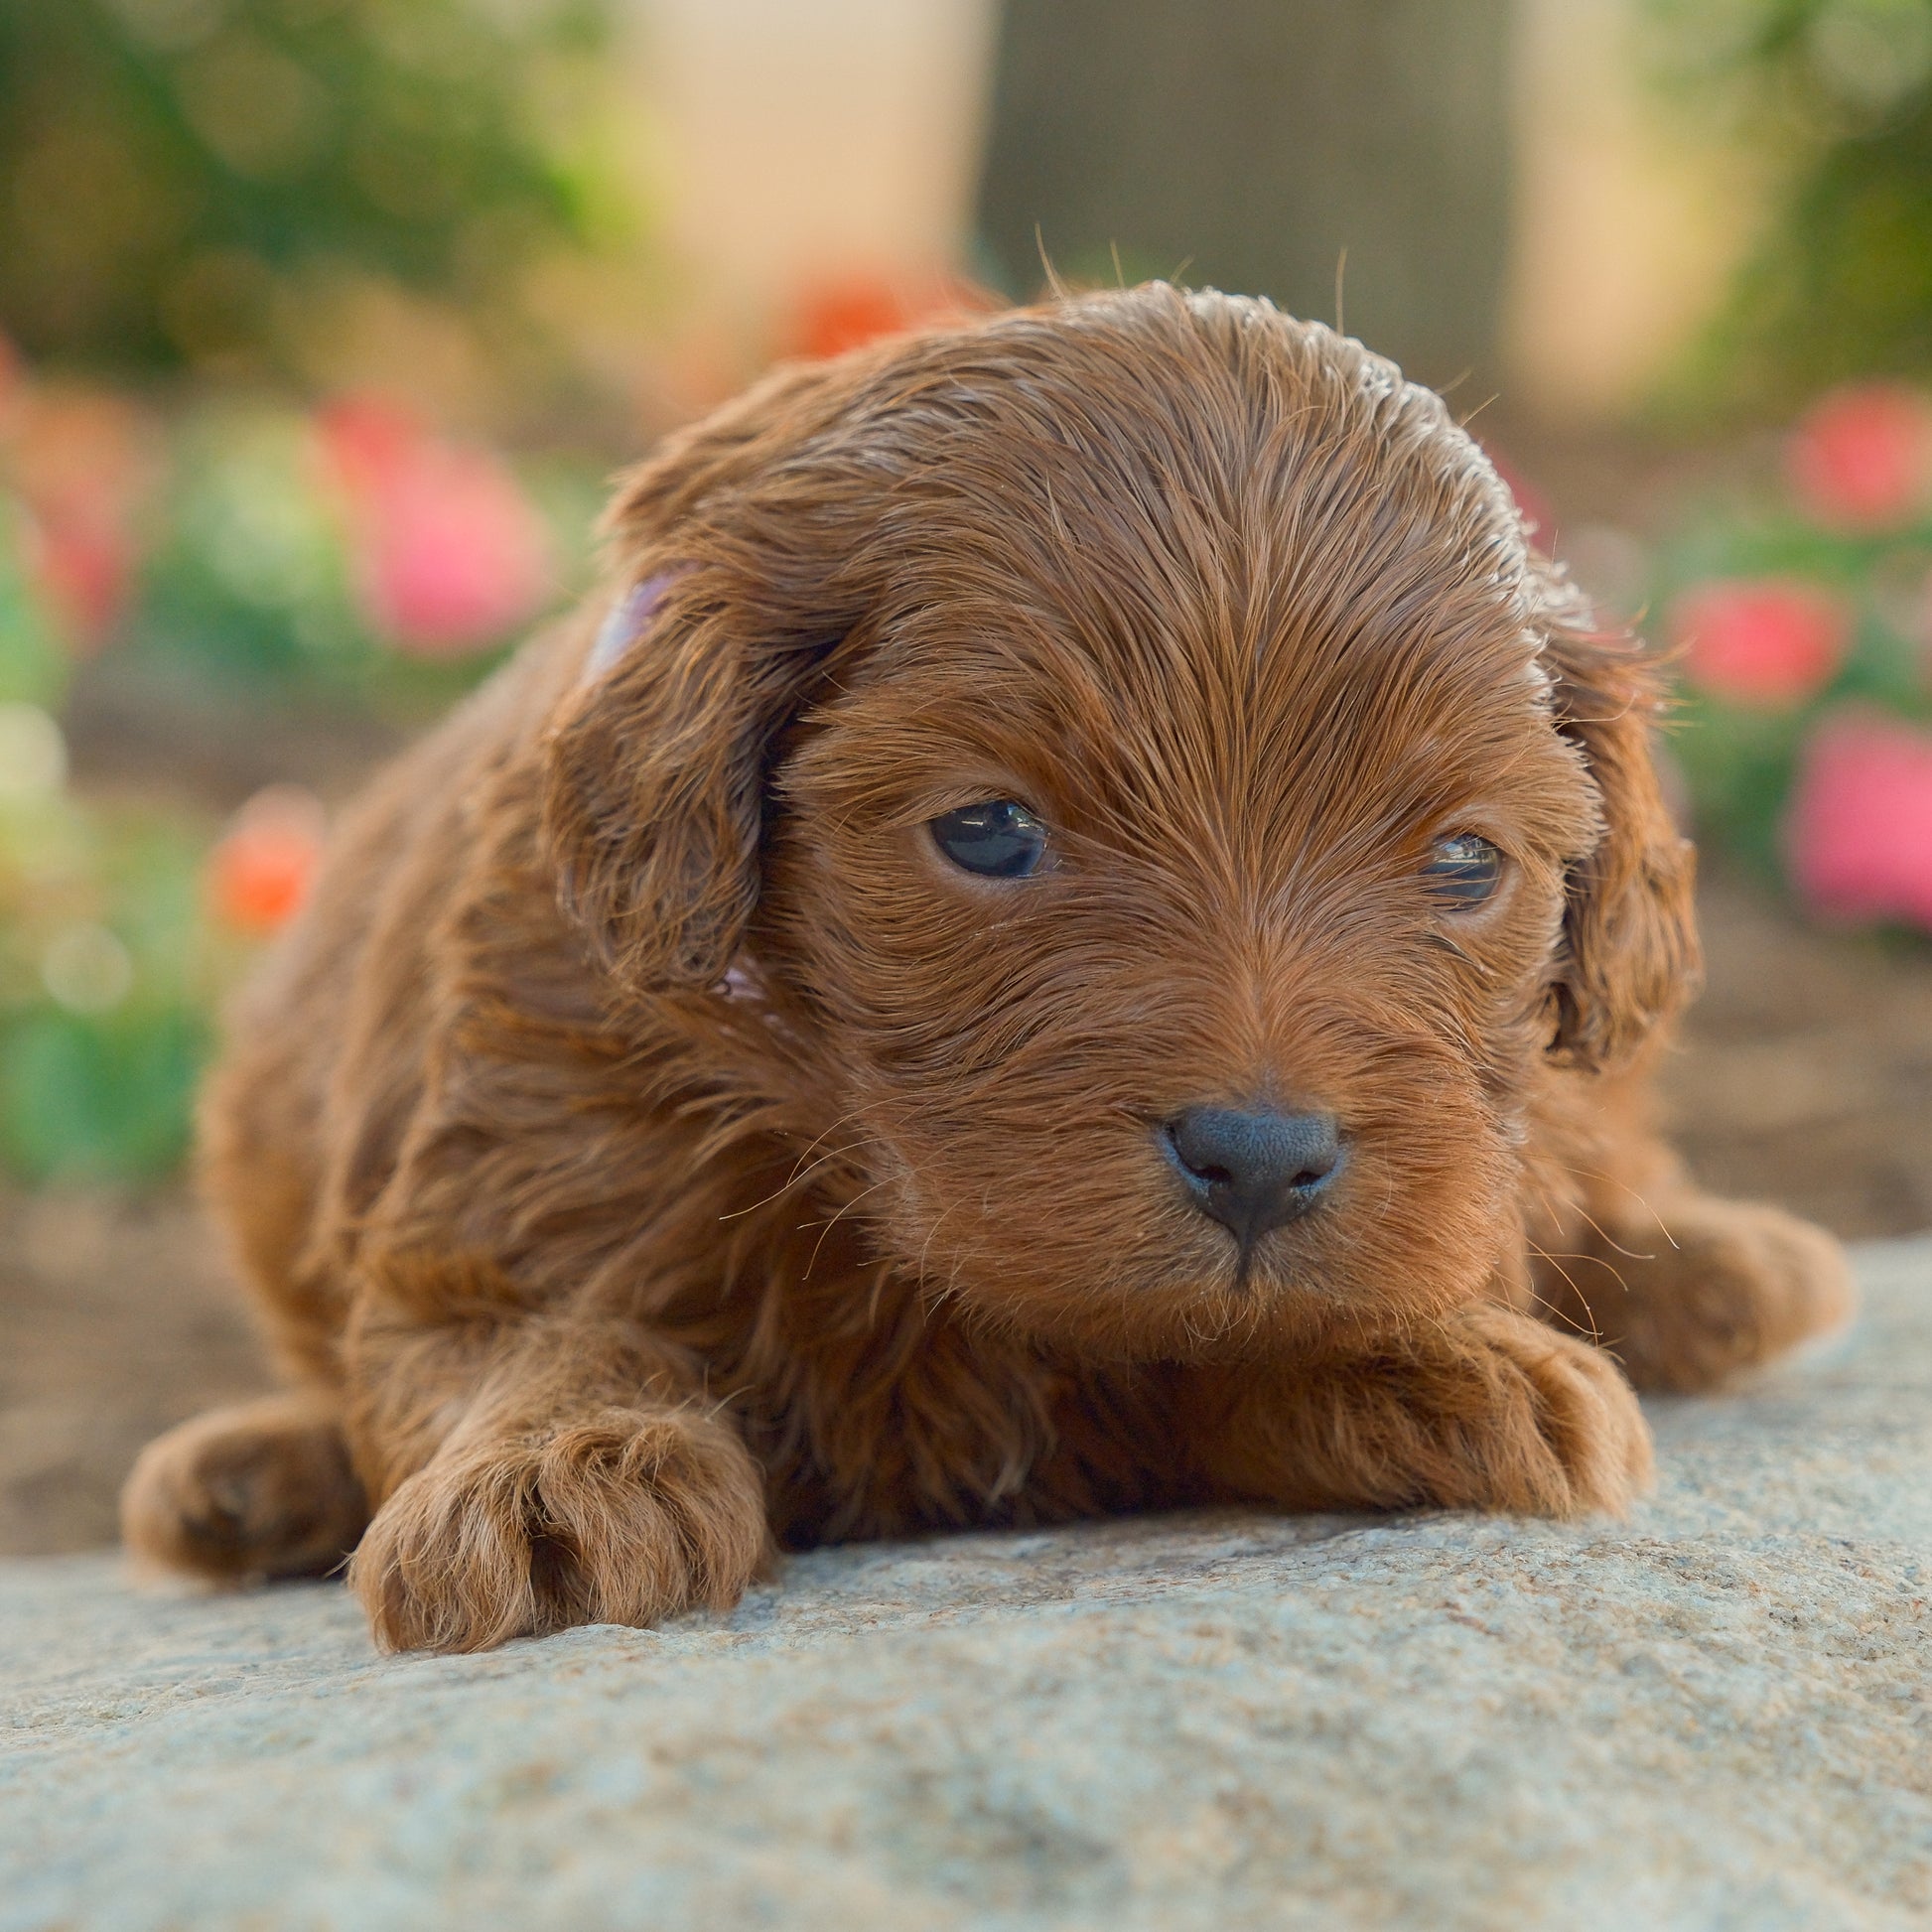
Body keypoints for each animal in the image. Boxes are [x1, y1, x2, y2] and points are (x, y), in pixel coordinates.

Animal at [124, 282, 1855, 1645]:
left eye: (1465, 861)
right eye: (986, 831)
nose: (1258, 1157)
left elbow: (1259, 1328)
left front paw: (1438, 1353)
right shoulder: (514, 1151)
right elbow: (520, 1331)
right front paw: (556, 1467)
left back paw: (1715, 1270)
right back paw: (247, 1473)